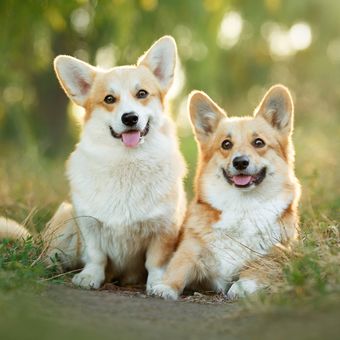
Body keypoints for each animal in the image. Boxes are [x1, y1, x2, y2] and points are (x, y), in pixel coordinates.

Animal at [30, 35, 186, 290]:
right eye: (109, 99)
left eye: (142, 94)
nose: (130, 118)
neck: (127, 163)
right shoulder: (89, 225)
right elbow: (96, 256)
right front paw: (89, 277)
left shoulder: (164, 228)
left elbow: (155, 262)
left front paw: (158, 284)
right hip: (65, 218)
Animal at [151, 85, 300, 300]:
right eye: (226, 144)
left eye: (259, 143)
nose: (240, 162)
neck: (242, 205)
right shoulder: (190, 249)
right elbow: (177, 267)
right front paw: (165, 287)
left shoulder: (275, 255)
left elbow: (258, 269)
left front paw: (242, 286)